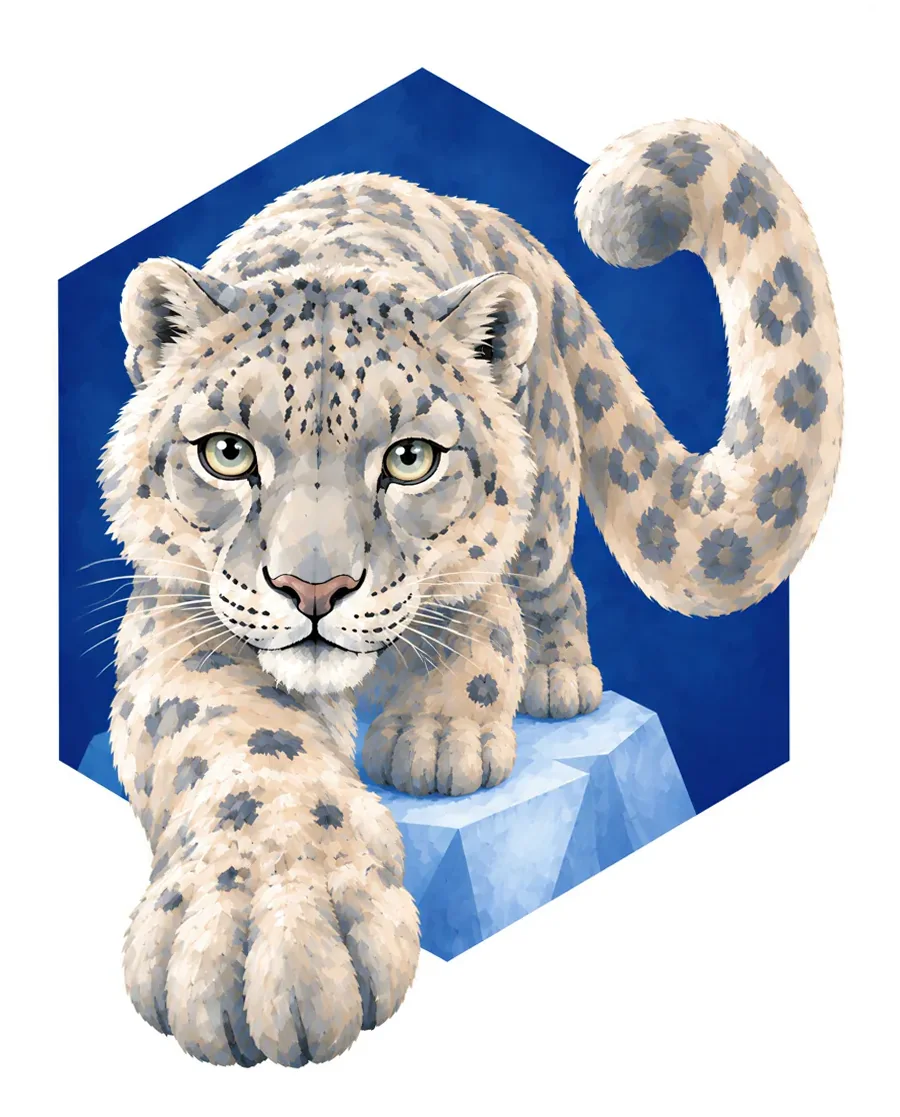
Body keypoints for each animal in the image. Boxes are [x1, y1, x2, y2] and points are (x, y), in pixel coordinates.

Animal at [99, 120, 842, 1066]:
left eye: (411, 456)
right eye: (227, 451)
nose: (314, 586)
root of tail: (494, 221)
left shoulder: (476, 573)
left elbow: (477, 632)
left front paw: (439, 741)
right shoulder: (178, 615)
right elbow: (238, 739)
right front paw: (270, 931)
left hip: (548, 494)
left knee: (556, 582)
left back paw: (560, 681)